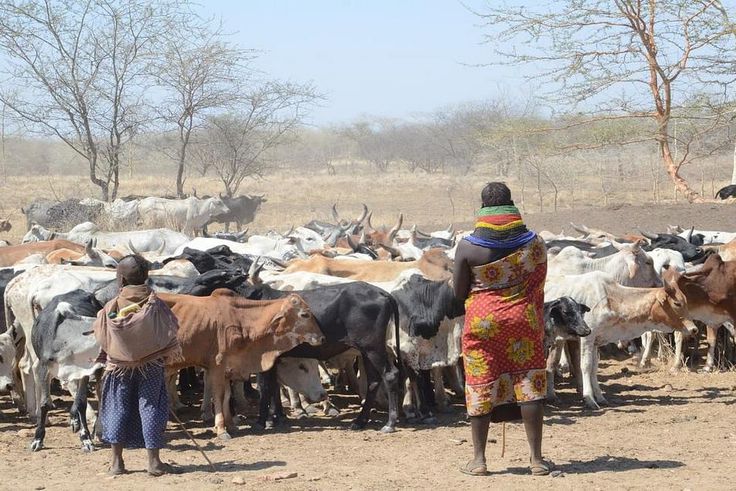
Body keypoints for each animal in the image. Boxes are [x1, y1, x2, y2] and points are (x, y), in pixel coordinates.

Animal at [159, 291, 324, 439]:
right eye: (304, 314)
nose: (322, 338)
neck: (240, 321)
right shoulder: (217, 366)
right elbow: (219, 395)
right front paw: (221, 429)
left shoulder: (228, 368)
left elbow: (227, 396)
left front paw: (231, 424)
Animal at [544, 267, 698, 408]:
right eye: (677, 303)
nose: (694, 329)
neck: (610, 298)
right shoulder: (587, 337)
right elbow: (586, 366)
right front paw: (589, 399)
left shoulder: (596, 342)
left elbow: (594, 368)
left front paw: (600, 397)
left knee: (551, 364)